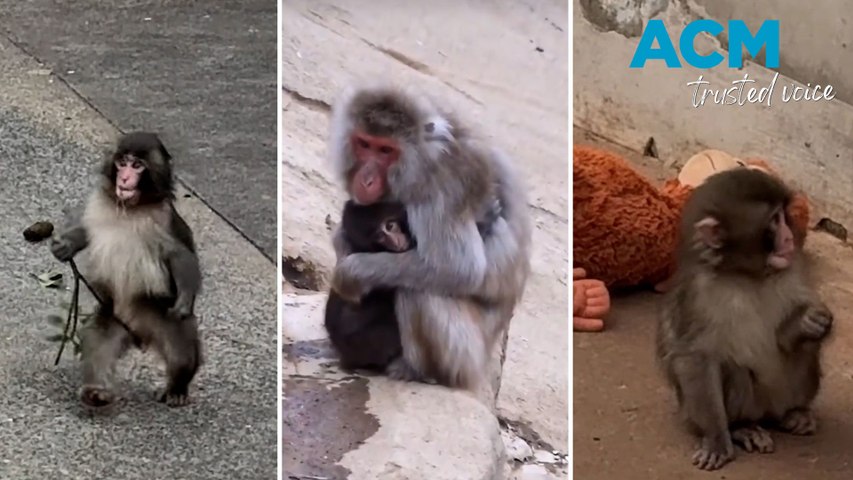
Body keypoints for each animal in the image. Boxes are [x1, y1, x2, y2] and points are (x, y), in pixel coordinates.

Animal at [50, 131, 203, 408]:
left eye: (137, 165)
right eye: (122, 162)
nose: (124, 178)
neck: (131, 208)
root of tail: (142, 334)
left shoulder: (164, 220)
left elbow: (180, 256)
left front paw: (184, 301)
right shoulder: (97, 205)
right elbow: (87, 232)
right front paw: (64, 247)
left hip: (159, 315)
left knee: (181, 349)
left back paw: (177, 388)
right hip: (114, 316)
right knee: (99, 340)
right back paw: (97, 391)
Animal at [656, 168, 833, 471]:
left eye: (784, 215)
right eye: (774, 220)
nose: (789, 238)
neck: (747, 276)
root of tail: (769, 412)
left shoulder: (793, 269)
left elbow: (785, 337)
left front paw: (809, 322)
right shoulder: (697, 297)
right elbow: (695, 359)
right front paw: (717, 439)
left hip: (782, 397)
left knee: (806, 354)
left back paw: (796, 413)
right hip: (738, 406)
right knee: (733, 370)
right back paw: (743, 428)